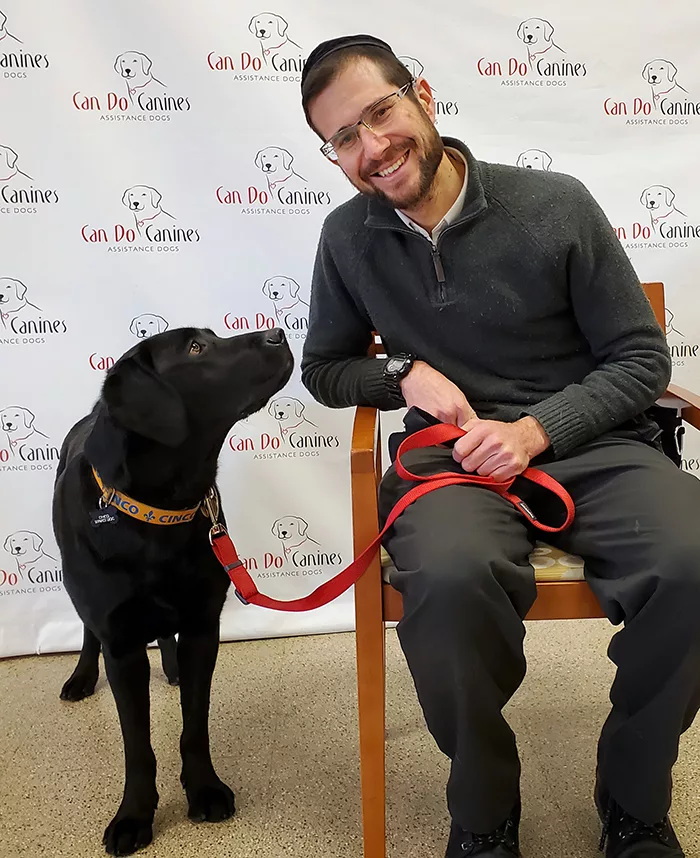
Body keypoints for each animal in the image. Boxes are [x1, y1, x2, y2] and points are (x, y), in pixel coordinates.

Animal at [52, 324, 292, 852]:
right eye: (196, 348)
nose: (279, 333)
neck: (160, 513)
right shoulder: (121, 645)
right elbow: (137, 746)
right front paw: (134, 816)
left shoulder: (203, 626)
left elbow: (195, 726)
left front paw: (204, 789)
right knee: (88, 632)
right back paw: (81, 677)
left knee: (165, 632)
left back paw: (171, 665)